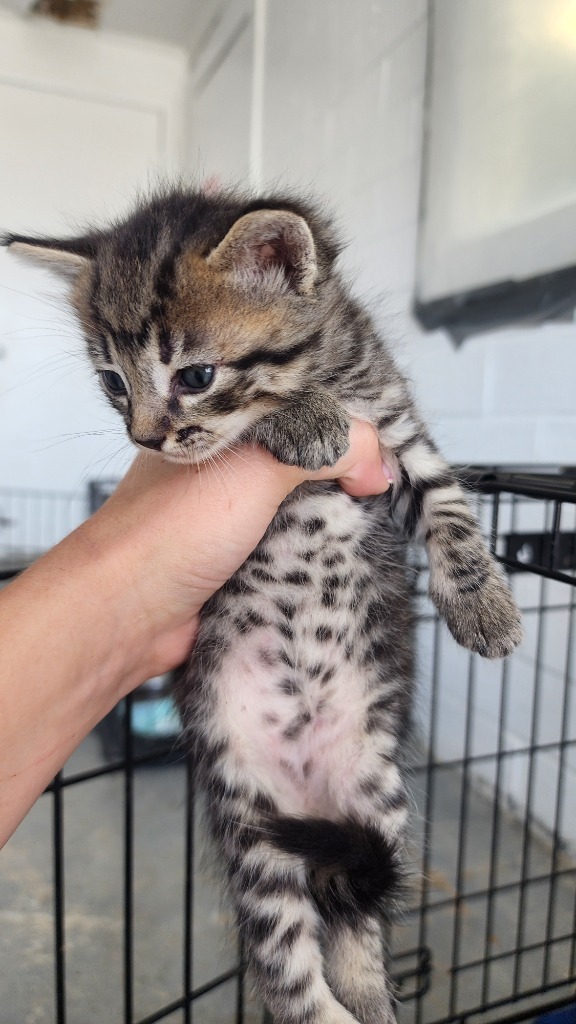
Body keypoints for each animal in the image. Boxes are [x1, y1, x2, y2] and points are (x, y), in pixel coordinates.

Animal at [5, 190, 520, 1024]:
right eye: (113, 382)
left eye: (196, 374)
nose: (145, 439)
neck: (330, 367)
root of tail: (307, 786)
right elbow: (260, 427)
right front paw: (303, 417)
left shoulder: (400, 433)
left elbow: (449, 507)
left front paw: (487, 610)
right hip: (254, 826)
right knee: (289, 978)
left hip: (377, 797)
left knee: (356, 923)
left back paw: (373, 999)